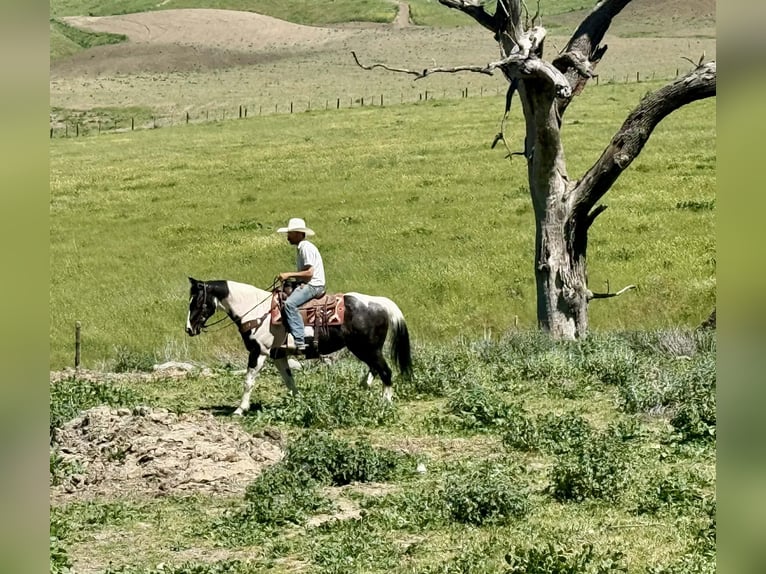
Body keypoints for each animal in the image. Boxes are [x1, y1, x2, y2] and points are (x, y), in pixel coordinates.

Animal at [185, 277, 412, 415]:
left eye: (197, 302)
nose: (189, 329)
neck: (256, 311)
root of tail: (380, 303)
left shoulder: (258, 352)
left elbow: (248, 381)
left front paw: (240, 410)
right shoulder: (278, 355)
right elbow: (289, 380)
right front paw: (299, 402)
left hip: (367, 348)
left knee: (385, 371)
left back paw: (385, 402)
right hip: (365, 349)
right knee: (376, 368)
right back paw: (364, 385)